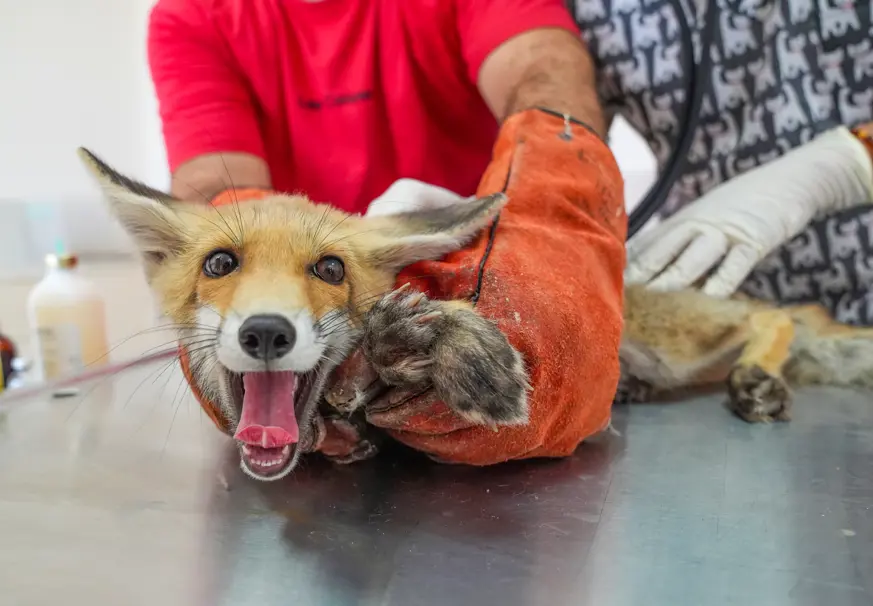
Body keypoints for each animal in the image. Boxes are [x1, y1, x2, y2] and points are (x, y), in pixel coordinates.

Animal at [79, 148, 873, 481]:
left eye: (330, 270)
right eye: (220, 265)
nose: (267, 331)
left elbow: (434, 325)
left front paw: (447, 349)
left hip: (675, 335)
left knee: (773, 313)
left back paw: (756, 376)